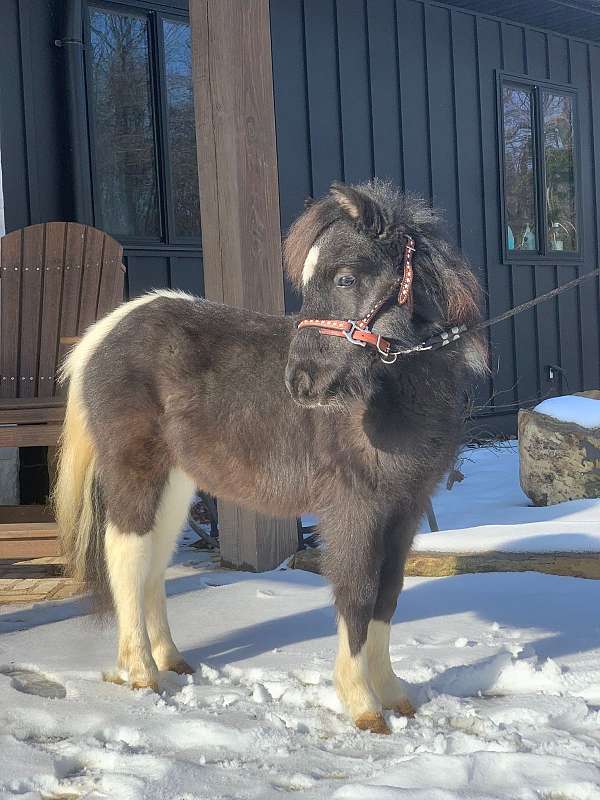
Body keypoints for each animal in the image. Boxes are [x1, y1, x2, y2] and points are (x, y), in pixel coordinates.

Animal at [54, 179, 485, 735]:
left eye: (345, 277)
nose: (301, 382)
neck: (393, 393)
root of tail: (106, 331)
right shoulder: (356, 510)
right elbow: (357, 596)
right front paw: (364, 706)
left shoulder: (405, 510)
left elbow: (387, 596)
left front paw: (394, 696)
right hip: (137, 471)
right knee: (126, 555)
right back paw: (142, 674)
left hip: (176, 483)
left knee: (153, 561)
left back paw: (172, 662)